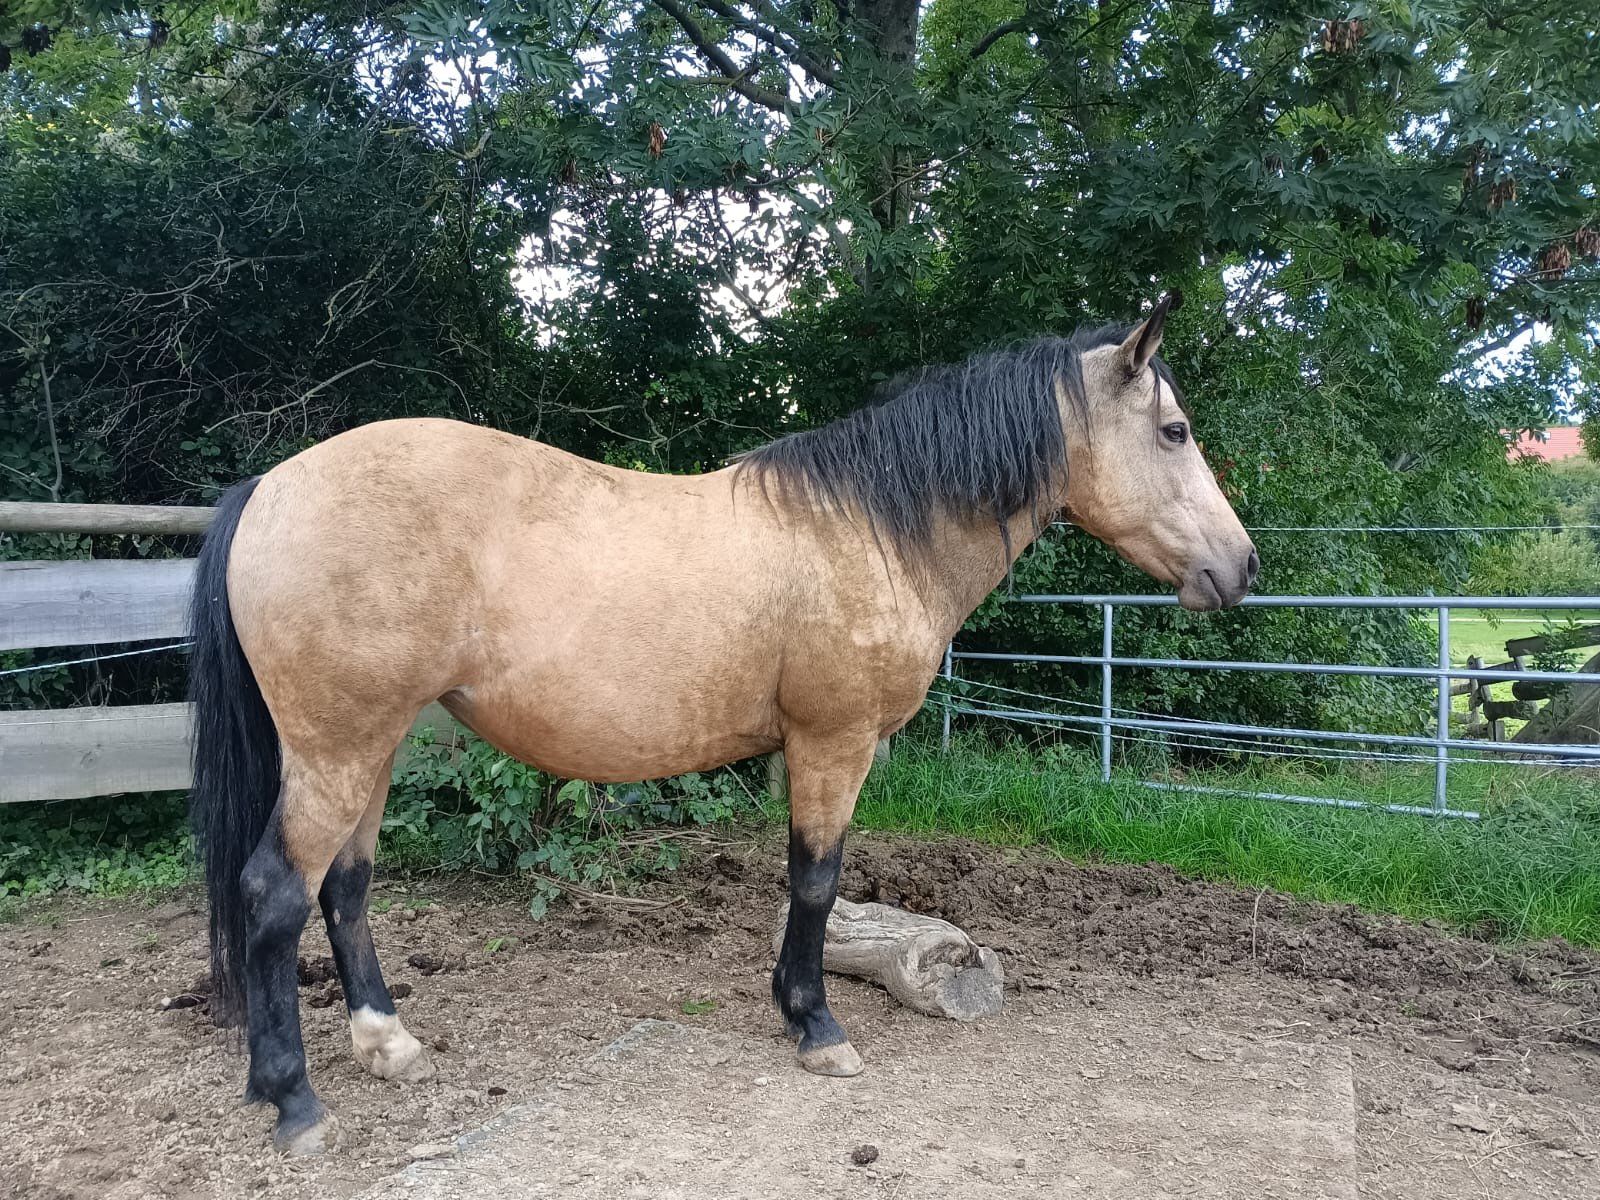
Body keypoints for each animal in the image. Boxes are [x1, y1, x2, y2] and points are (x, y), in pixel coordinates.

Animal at [187, 294, 1257, 1154]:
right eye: (1174, 430)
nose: (1241, 567)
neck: (870, 530)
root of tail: (271, 487)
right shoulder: (833, 744)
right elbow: (816, 882)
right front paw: (816, 1027)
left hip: (372, 746)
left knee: (346, 887)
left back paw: (387, 1042)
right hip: (336, 748)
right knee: (277, 894)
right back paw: (294, 1102)